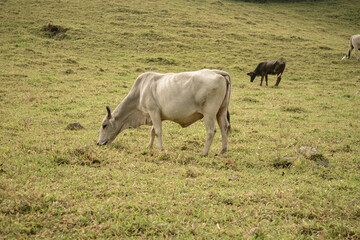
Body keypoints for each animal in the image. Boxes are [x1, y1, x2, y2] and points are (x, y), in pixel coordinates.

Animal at [96, 68, 231, 157]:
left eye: (104, 125)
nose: (98, 143)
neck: (140, 91)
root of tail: (216, 72)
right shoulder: (155, 115)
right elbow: (152, 131)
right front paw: (149, 147)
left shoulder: (153, 111)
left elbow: (158, 131)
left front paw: (160, 149)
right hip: (221, 112)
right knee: (224, 128)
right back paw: (222, 151)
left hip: (209, 113)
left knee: (211, 131)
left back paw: (204, 153)